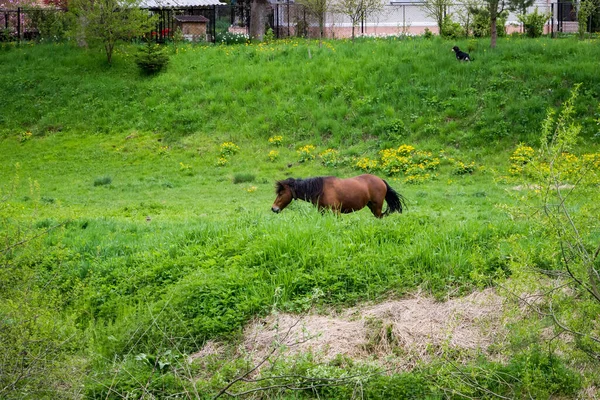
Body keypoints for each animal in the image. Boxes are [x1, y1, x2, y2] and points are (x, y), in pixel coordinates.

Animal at [272, 173, 408, 219]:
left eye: (281, 193)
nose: (273, 208)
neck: (321, 189)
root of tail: (381, 180)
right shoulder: (322, 212)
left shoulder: (335, 211)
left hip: (377, 206)